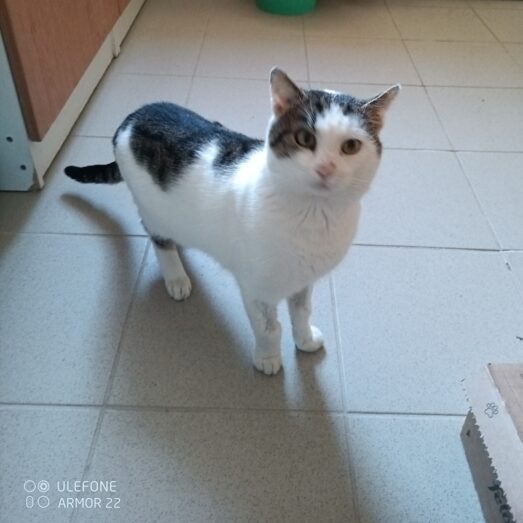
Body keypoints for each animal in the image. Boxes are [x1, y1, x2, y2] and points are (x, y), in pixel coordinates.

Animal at [65, 68, 399, 375]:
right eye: (305, 138)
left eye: (351, 146)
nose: (326, 169)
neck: (314, 215)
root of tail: (132, 117)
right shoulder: (256, 287)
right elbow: (268, 327)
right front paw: (267, 358)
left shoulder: (303, 280)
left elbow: (302, 312)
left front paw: (304, 339)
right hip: (150, 208)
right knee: (159, 239)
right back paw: (176, 277)